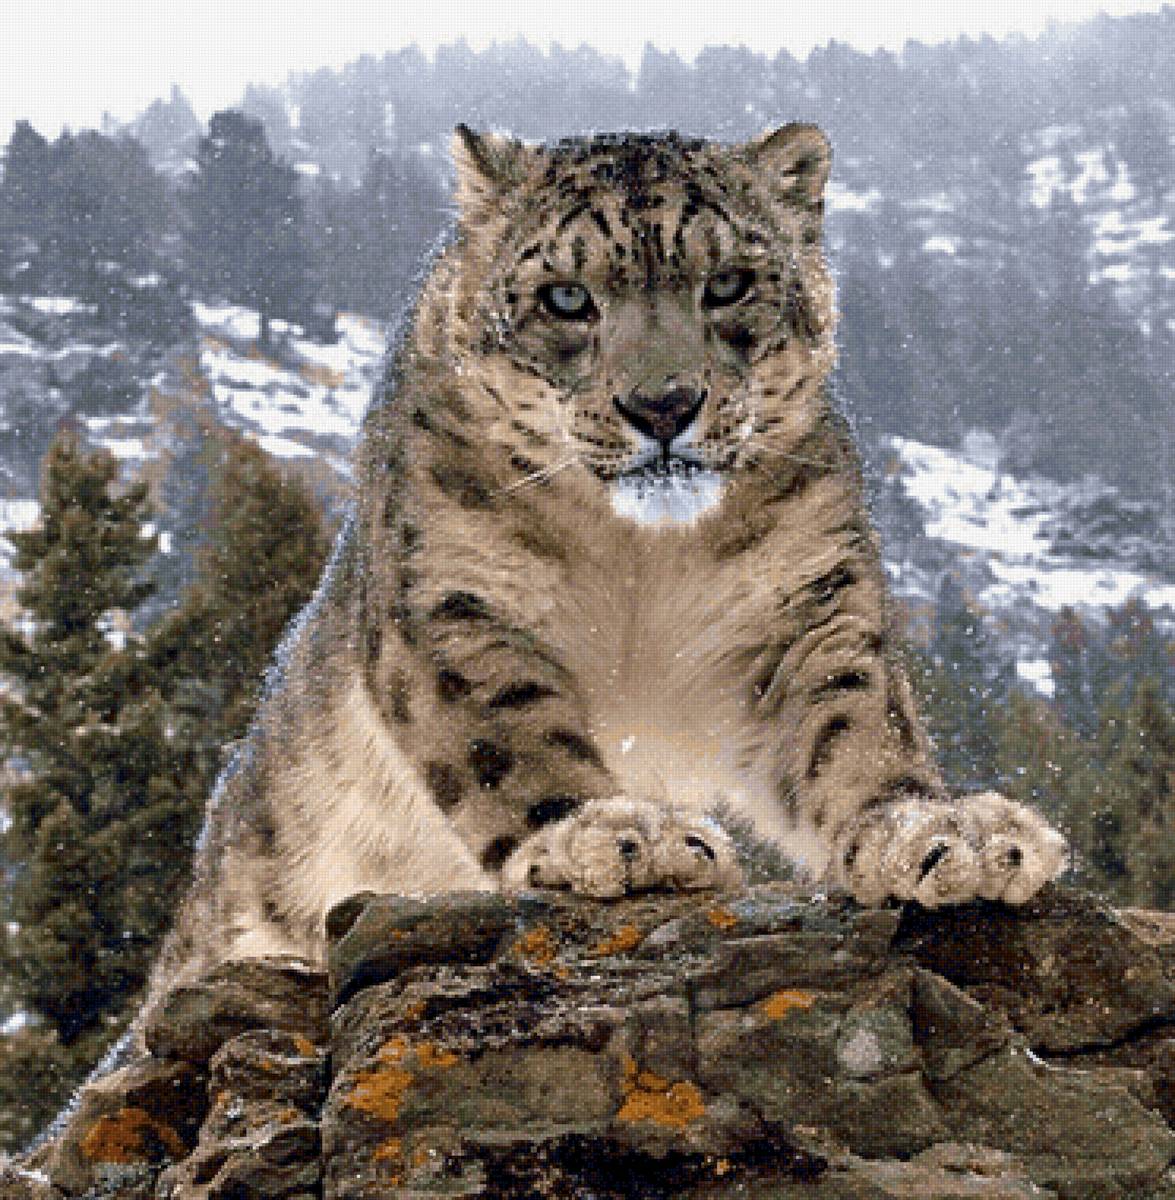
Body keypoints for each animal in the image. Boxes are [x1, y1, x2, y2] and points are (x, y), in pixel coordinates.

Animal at [147, 121, 1068, 1006]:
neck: (637, 555)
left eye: (727, 283)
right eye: (565, 297)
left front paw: (942, 833)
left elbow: (852, 723)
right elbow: (505, 729)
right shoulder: (451, 596)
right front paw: (613, 836)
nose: (662, 404)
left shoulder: (806, 603)